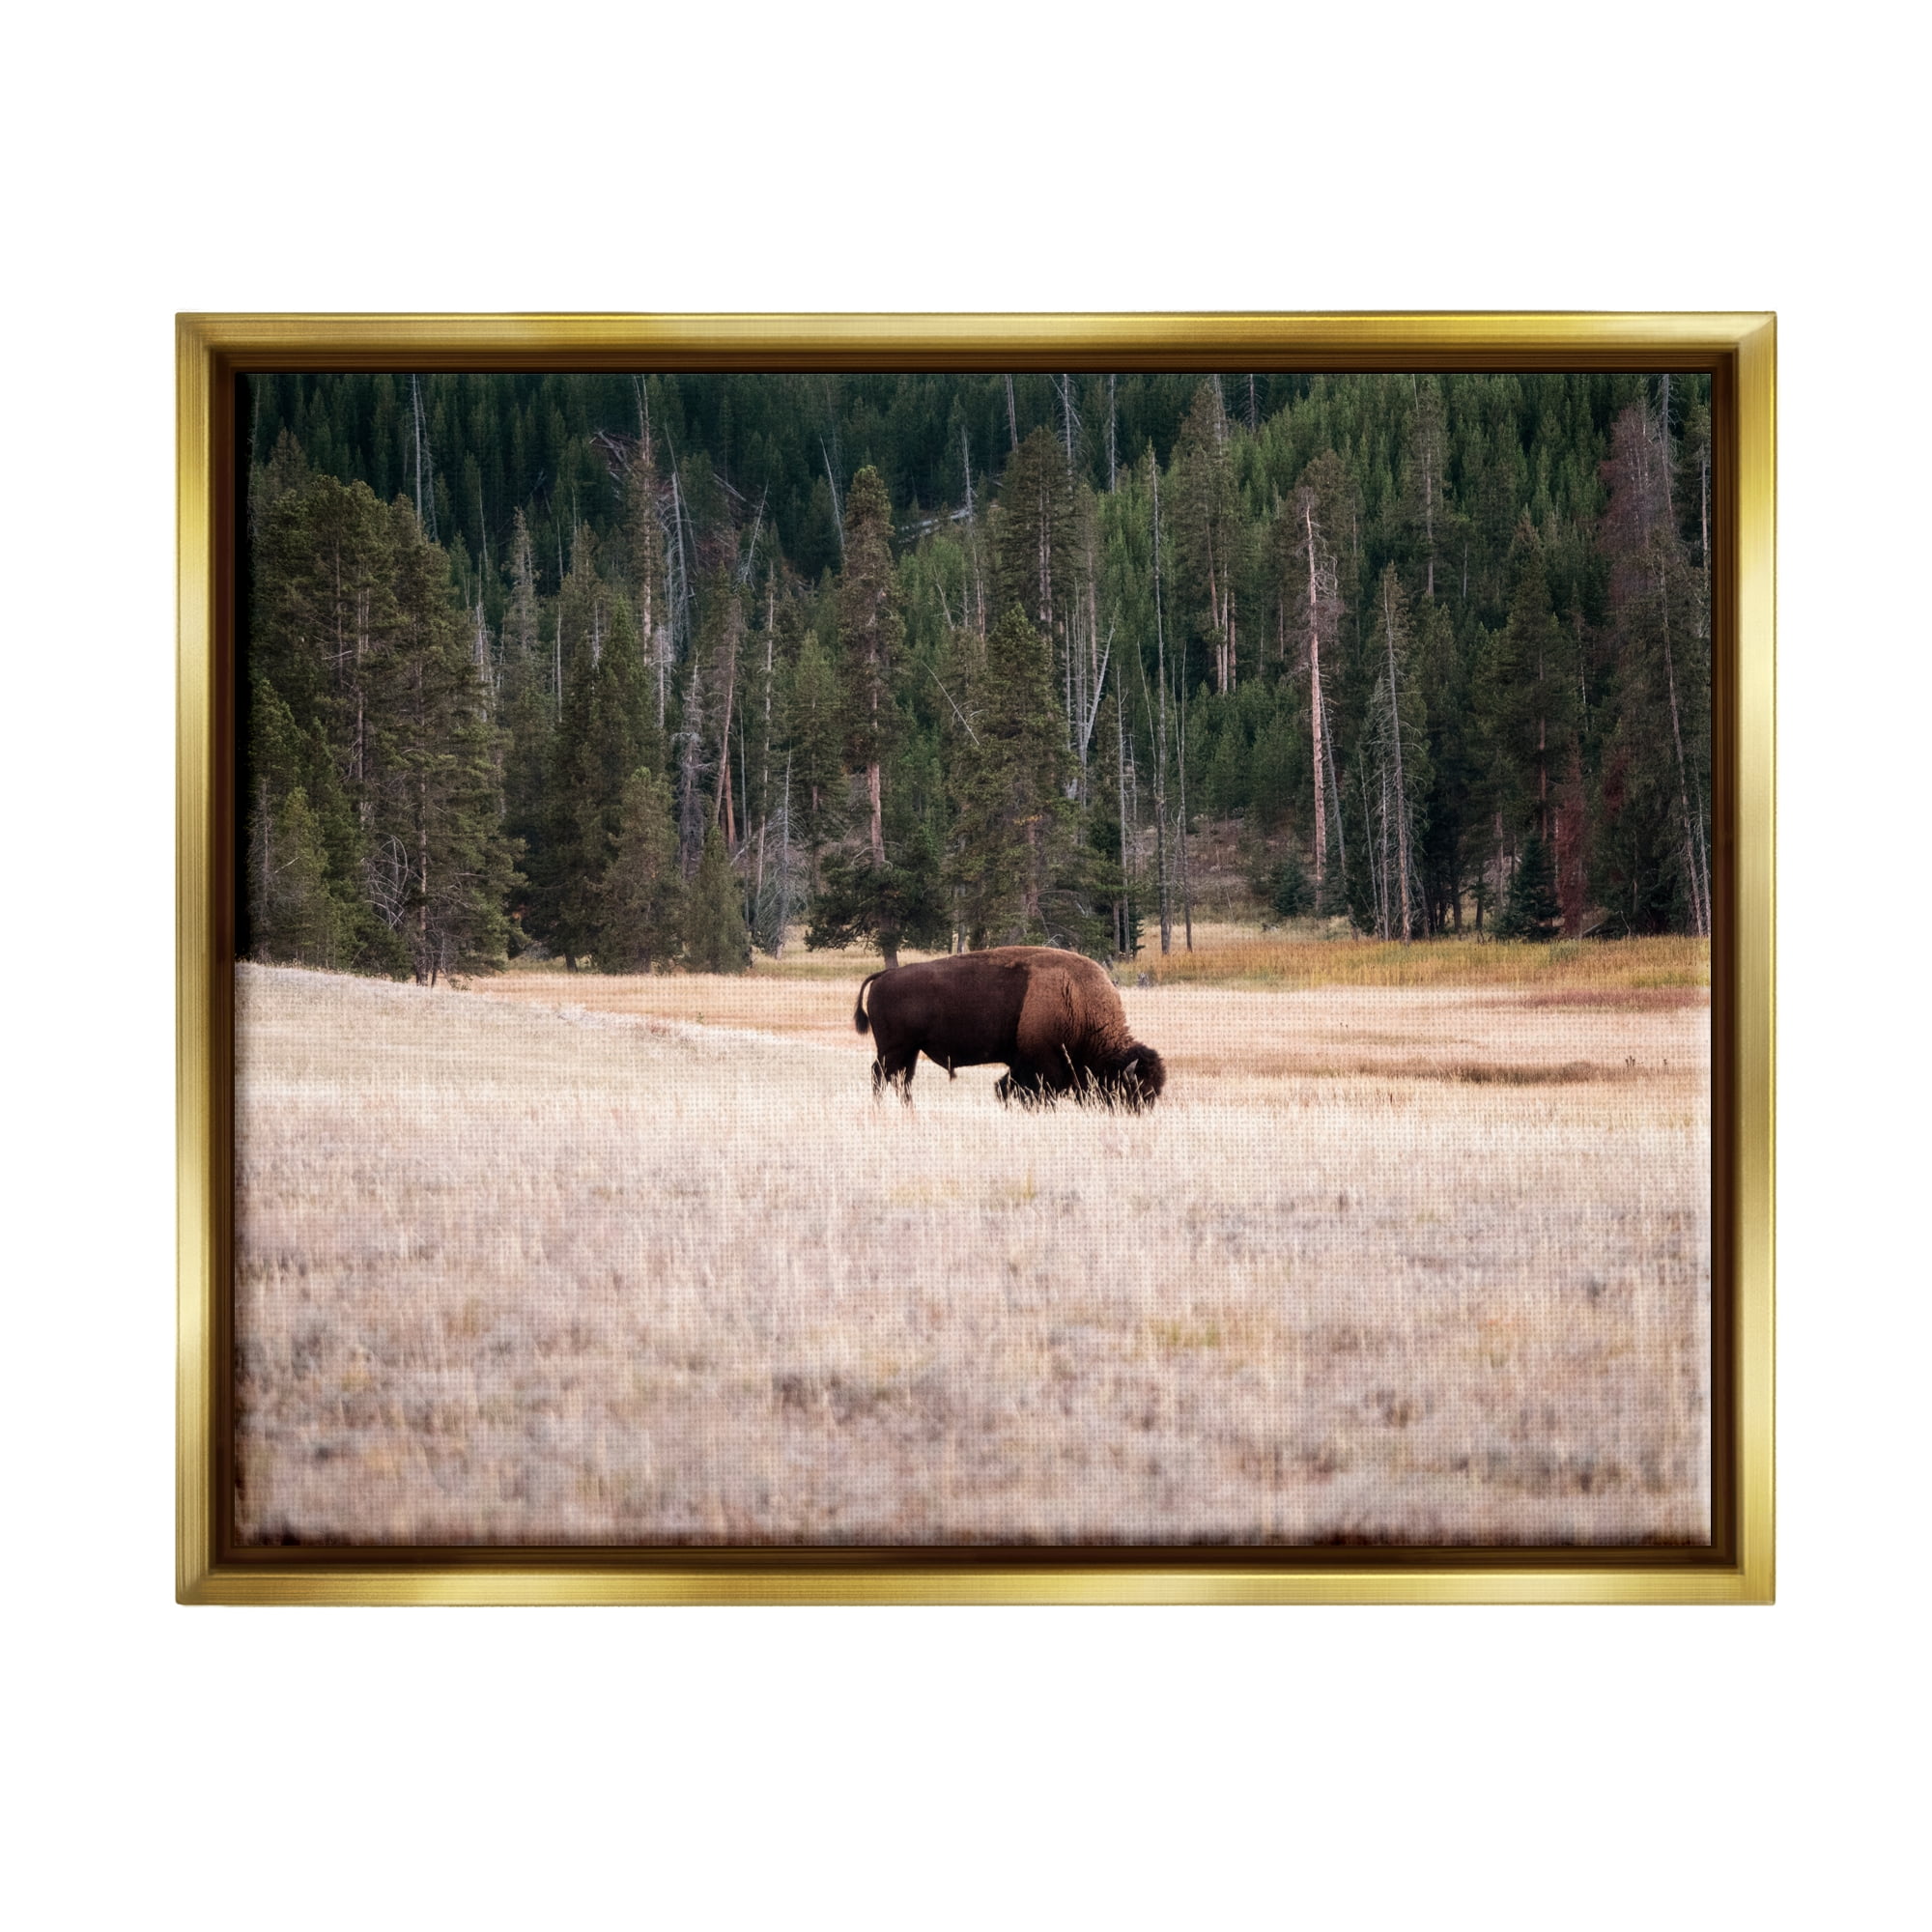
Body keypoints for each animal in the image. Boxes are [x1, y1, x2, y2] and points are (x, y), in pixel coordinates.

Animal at [853, 946, 1166, 1111]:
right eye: (1134, 1090)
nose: (1139, 1114)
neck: (1077, 999)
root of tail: (886, 974)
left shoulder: (1023, 1065)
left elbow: (1006, 1087)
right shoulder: (1040, 1066)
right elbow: (1026, 1091)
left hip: (911, 1050)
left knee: (902, 1079)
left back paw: (909, 1109)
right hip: (893, 1049)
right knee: (881, 1076)